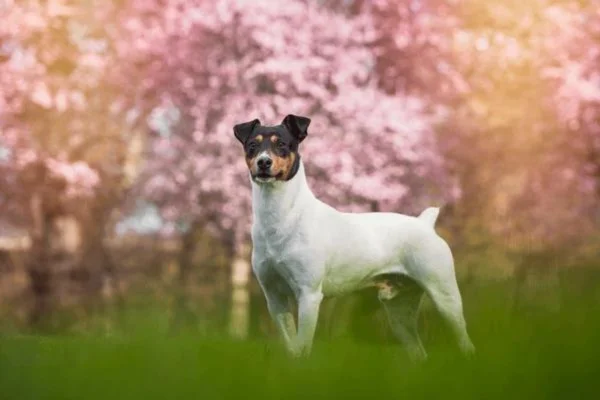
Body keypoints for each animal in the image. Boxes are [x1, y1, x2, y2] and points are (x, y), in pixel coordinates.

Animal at [233, 115, 474, 360]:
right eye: (252, 146)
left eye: (281, 144)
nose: (263, 162)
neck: (282, 216)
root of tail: (425, 224)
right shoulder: (274, 297)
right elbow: (291, 346)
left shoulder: (309, 294)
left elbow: (303, 346)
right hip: (399, 311)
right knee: (418, 351)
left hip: (445, 298)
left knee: (465, 342)